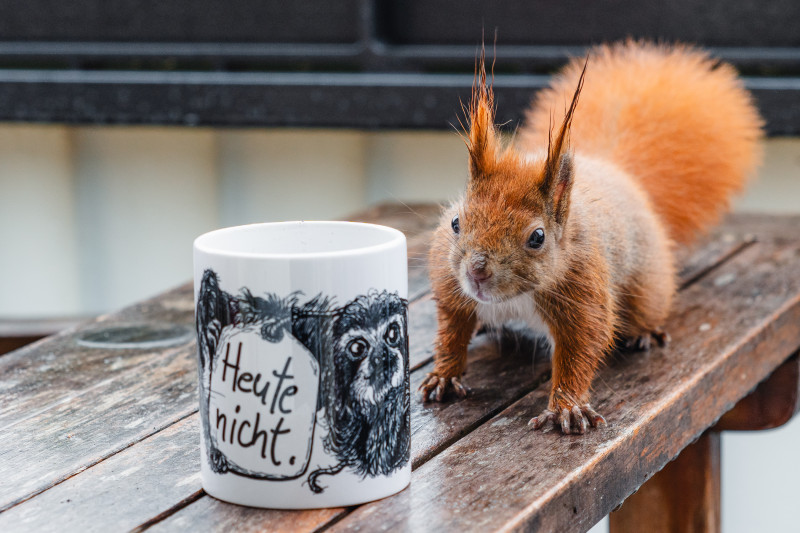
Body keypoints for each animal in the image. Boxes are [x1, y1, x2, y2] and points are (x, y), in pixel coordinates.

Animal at [418, 41, 764, 432]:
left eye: (537, 237)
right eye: (455, 223)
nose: (476, 272)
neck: (516, 298)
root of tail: (616, 171)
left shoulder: (583, 290)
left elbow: (581, 348)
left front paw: (566, 408)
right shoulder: (451, 288)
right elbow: (452, 330)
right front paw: (444, 375)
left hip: (646, 288)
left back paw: (644, 333)